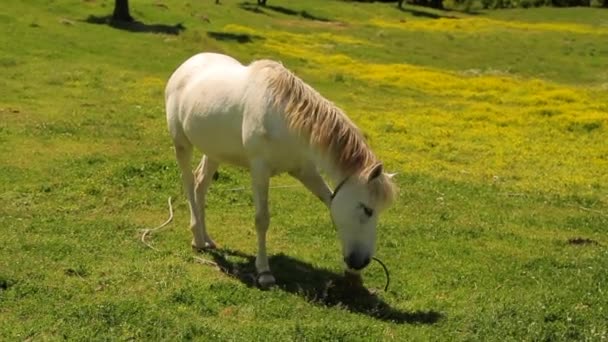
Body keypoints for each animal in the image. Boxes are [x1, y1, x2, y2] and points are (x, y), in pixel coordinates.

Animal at [164, 52, 396, 288]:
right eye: (367, 209)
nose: (360, 262)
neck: (286, 117)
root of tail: (188, 64)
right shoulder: (260, 170)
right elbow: (262, 220)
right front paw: (264, 272)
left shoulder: (305, 171)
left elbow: (330, 202)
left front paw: (352, 276)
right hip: (181, 144)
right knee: (189, 183)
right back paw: (197, 239)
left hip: (213, 150)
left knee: (201, 185)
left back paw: (207, 238)